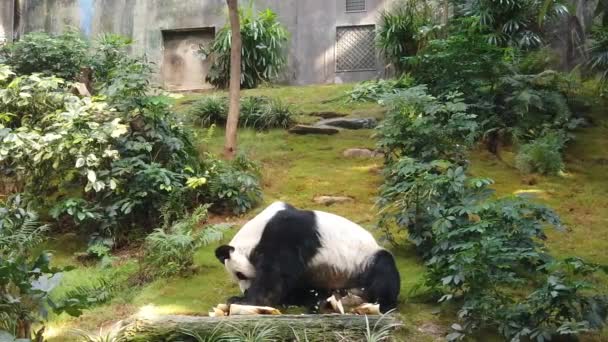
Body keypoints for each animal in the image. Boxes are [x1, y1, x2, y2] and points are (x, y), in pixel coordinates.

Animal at [213, 202, 400, 314]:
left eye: (240, 274)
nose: (244, 290)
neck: (257, 231)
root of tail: (353, 292)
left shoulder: (286, 234)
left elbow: (274, 275)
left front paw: (243, 301)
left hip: (363, 261)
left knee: (384, 268)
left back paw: (383, 304)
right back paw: (313, 302)